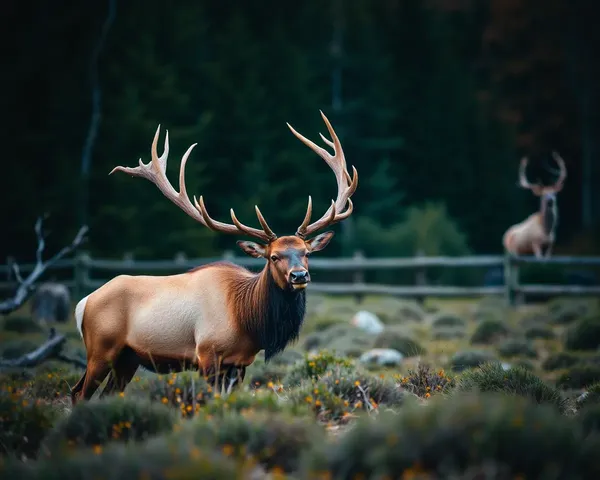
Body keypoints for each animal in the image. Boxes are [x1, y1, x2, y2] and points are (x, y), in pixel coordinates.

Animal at [72, 110, 358, 404]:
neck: (249, 321)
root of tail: (84, 303)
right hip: (101, 349)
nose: (299, 275)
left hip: (127, 359)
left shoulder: (240, 363)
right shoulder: (207, 354)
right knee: (79, 392)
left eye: (306, 253)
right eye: (274, 257)